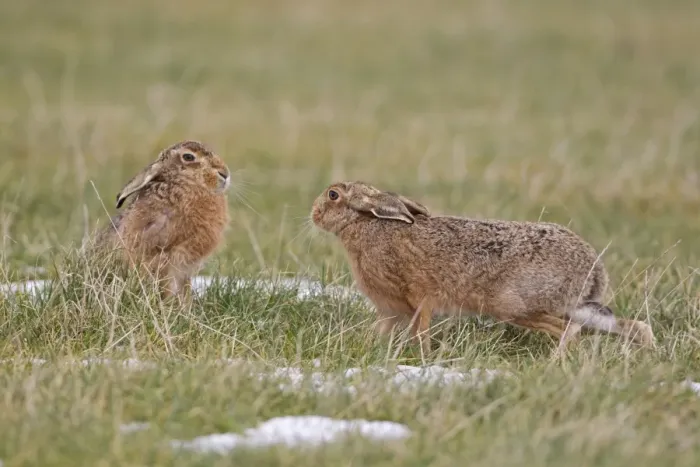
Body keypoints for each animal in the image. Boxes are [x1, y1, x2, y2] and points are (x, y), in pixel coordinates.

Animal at [310, 181, 655, 354]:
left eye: (333, 195)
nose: (314, 214)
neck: (366, 224)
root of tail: (593, 270)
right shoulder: (391, 310)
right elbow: (383, 330)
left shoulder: (417, 299)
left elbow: (420, 328)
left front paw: (423, 357)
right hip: (576, 306)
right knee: (627, 325)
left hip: (514, 306)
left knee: (569, 331)